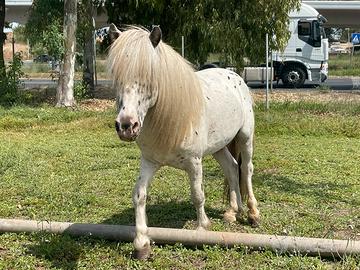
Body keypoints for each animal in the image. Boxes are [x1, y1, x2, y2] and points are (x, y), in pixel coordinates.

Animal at [107, 24, 258, 260]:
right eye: (117, 76)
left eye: (150, 75)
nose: (126, 126)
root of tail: (234, 74)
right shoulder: (149, 162)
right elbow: (139, 195)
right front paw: (141, 244)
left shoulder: (194, 162)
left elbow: (197, 195)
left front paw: (202, 228)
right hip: (219, 147)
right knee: (233, 168)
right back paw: (233, 212)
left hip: (245, 137)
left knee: (247, 170)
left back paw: (253, 214)